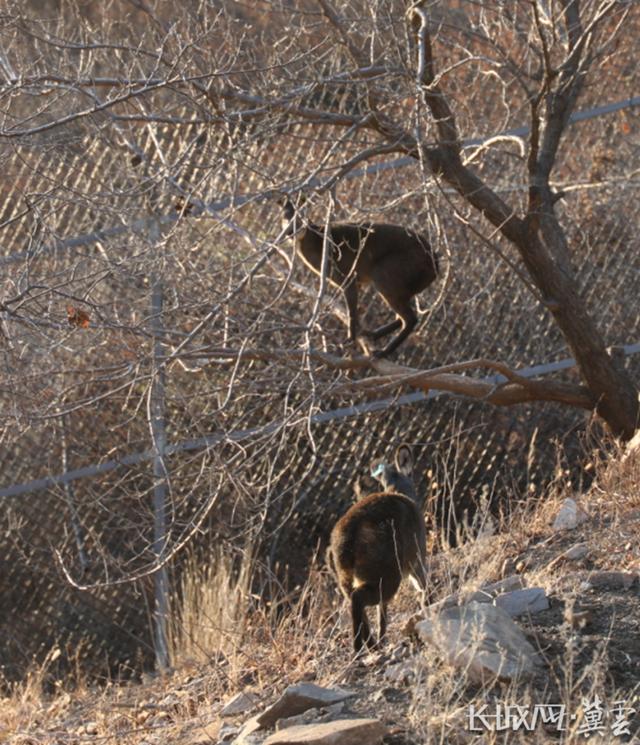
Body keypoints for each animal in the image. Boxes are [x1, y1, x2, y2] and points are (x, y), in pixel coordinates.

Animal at [282, 195, 438, 358]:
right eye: (285, 217)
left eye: (301, 216)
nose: (290, 232)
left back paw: (382, 352)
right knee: (402, 317)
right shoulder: (357, 282)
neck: (319, 245)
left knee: (410, 318)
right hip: (404, 286)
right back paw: (372, 335)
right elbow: (354, 310)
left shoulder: (347, 277)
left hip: (385, 273)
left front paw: (349, 340)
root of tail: (435, 266)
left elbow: (351, 311)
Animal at [328, 444, 428, 652]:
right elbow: (423, 588)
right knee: (360, 598)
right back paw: (360, 647)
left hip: (347, 578)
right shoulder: (417, 556)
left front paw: (383, 638)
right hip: (388, 571)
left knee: (356, 600)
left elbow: (382, 613)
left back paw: (371, 644)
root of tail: (344, 542)